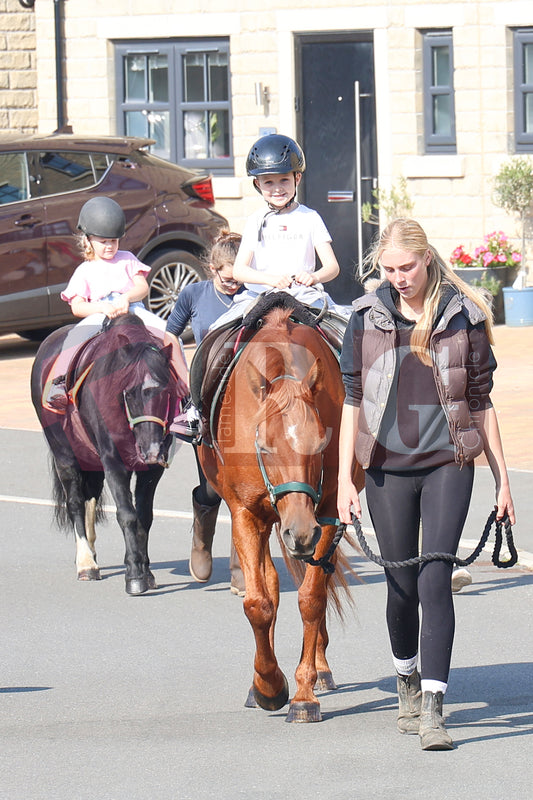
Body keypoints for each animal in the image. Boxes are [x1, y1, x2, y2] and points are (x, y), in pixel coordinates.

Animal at [31, 316, 185, 596]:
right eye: (129, 392)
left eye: (167, 391)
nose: (151, 449)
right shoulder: (114, 462)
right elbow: (126, 513)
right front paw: (134, 575)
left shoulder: (151, 470)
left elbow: (144, 516)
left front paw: (145, 571)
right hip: (64, 454)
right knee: (75, 502)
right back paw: (85, 564)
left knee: (90, 496)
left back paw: (91, 554)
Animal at [197, 304, 364, 720]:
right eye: (265, 446)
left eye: (320, 443)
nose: (299, 531)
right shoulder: (245, 513)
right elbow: (259, 602)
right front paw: (268, 685)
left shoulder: (328, 514)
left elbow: (311, 598)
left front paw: (303, 692)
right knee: (270, 584)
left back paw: (318, 668)